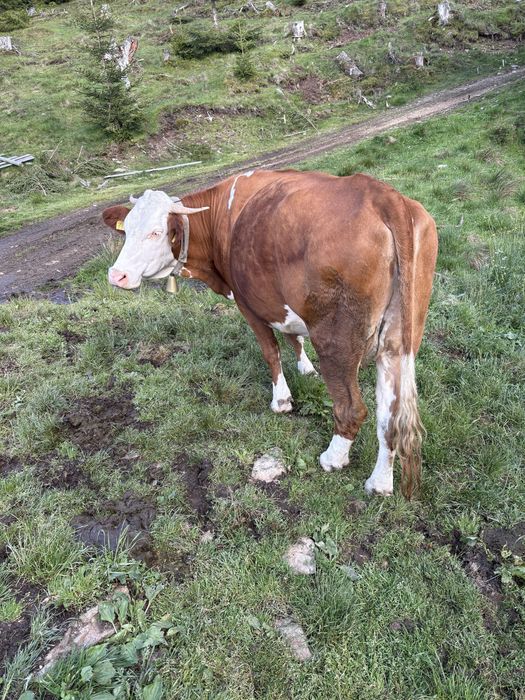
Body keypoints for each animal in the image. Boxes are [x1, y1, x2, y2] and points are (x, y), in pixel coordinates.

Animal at [102, 169, 438, 498]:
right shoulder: (277, 300)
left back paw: (333, 458)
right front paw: (306, 369)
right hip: (399, 339)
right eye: (126, 230)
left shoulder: (246, 302)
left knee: (352, 407)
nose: (116, 275)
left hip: (335, 339)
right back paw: (380, 482)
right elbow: (292, 336)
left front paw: (282, 399)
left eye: (155, 233)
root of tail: (380, 193)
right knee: (390, 416)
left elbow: (270, 351)